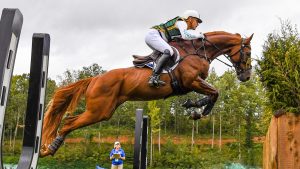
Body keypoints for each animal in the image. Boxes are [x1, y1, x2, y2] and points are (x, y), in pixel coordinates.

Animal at [40, 30, 253, 157]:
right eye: (248, 53)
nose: (246, 76)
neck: (197, 51)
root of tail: (94, 79)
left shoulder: (194, 83)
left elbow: (212, 93)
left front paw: (193, 107)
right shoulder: (191, 81)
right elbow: (215, 93)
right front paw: (198, 111)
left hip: (105, 110)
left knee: (69, 121)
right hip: (99, 110)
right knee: (69, 122)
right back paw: (49, 149)